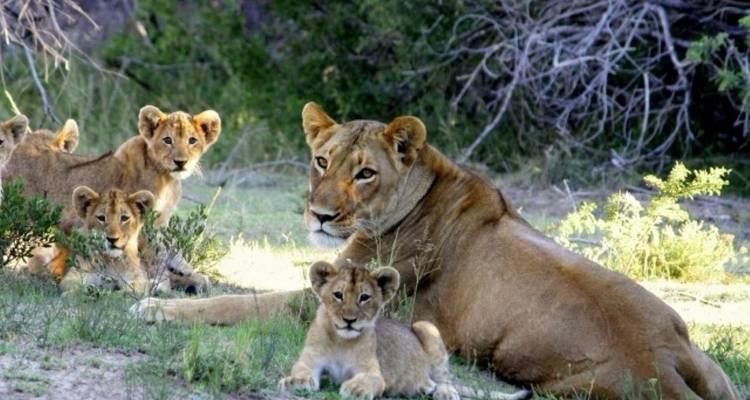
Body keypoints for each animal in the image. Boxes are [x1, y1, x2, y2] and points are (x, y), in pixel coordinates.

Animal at [5, 105, 221, 278]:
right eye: (167, 140)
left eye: (192, 141)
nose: (181, 162)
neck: (167, 179)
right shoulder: (144, 226)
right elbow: (154, 257)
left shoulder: (159, 223)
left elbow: (168, 251)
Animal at [279, 261, 530, 400]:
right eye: (338, 295)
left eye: (364, 297)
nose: (349, 320)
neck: (342, 340)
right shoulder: (309, 361)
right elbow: (301, 370)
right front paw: (295, 381)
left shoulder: (373, 372)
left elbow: (369, 380)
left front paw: (357, 389)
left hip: (425, 326)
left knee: (444, 378)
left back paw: (443, 392)